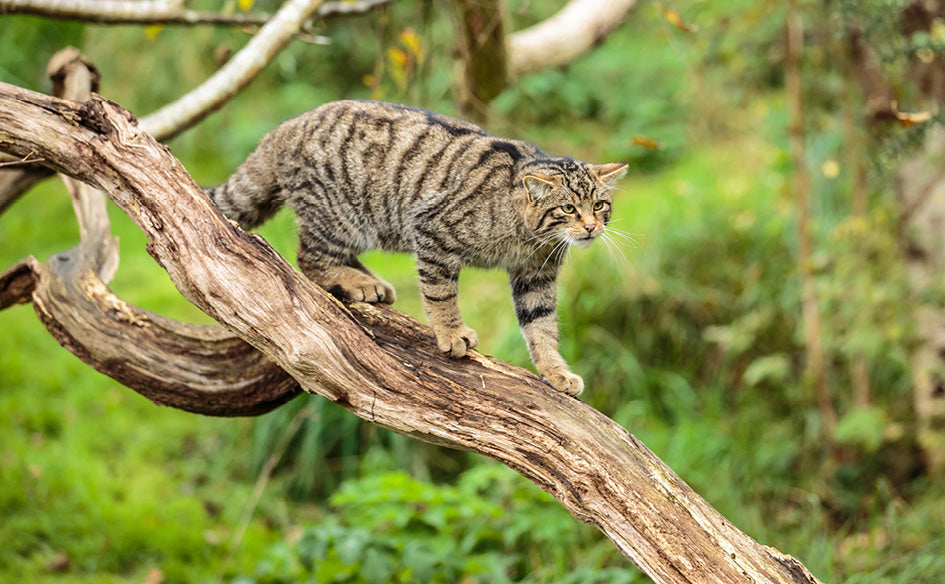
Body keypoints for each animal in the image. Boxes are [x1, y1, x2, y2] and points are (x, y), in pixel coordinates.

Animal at [210, 100, 632, 394]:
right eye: (568, 208)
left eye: (600, 205)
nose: (591, 227)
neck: (528, 236)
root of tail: (284, 128)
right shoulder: (432, 232)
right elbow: (441, 295)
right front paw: (451, 333)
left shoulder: (536, 277)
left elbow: (542, 327)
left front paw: (556, 371)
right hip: (338, 216)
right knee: (310, 259)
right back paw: (355, 281)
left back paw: (369, 282)